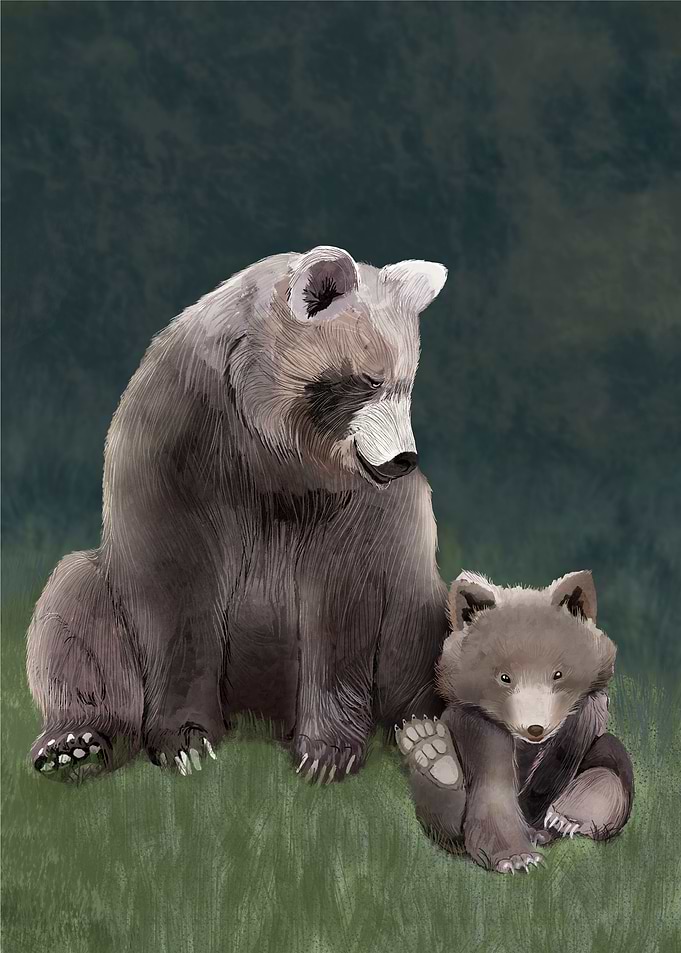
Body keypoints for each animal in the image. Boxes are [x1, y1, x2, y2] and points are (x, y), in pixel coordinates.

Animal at [27, 245, 450, 783]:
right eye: (369, 381)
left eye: (406, 383)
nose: (403, 459)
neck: (274, 445)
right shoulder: (183, 448)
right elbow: (175, 590)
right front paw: (186, 741)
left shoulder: (353, 508)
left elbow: (341, 602)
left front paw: (326, 752)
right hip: (104, 597)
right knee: (74, 607)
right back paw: (74, 743)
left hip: (415, 596)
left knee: (422, 627)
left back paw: (425, 734)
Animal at [396, 570, 634, 873]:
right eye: (504, 677)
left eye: (558, 674)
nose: (535, 728)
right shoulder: (476, 725)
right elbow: (492, 787)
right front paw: (517, 858)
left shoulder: (588, 715)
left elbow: (587, 753)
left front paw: (560, 816)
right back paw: (431, 751)